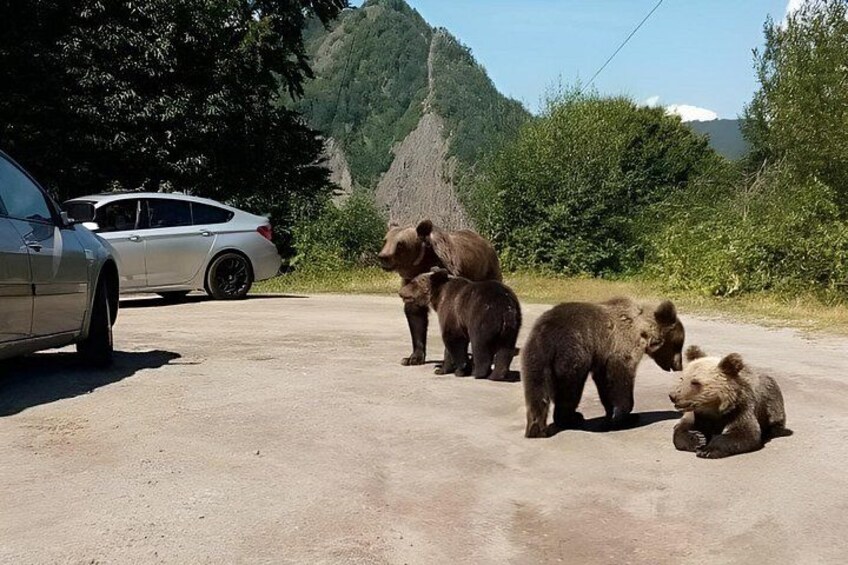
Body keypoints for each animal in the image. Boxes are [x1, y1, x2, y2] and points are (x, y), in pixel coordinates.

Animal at [378, 219, 502, 366]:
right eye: (385, 240)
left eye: (400, 244)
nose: (383, 256)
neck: (422, 265)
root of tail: (487, 243)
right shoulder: (411, 286)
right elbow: (416, 317)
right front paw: (412, 358)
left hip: (488, 273)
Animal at [521, 297, 685, 438]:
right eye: (678, 345)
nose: (679, 365)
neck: (642, 331)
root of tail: (547, 335)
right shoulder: (622, 347)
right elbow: (620, 381)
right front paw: (626, 417)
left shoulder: (603, 356)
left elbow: (604, 383)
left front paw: (612, 413)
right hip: (573, 352)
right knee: (569, 389)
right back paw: (571, 418)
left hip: (534, 357)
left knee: (536, 391)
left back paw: (536, 429)